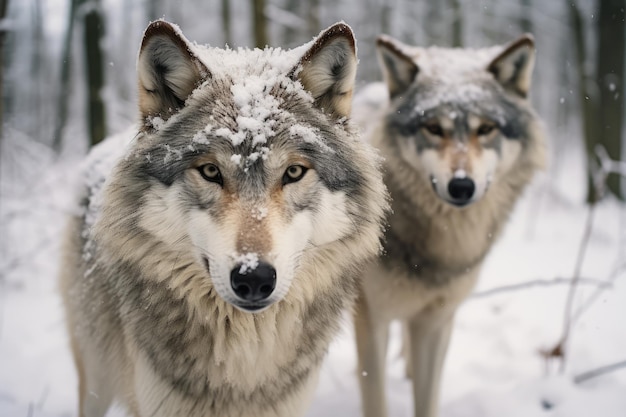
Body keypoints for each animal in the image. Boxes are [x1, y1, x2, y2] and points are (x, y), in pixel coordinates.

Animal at [352, 35, 544, 416]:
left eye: (485, 129)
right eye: (433, 128)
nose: (461, 186)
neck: (444, 247)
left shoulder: (437, 322)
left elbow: (427, 398)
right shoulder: (371, 317)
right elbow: (376, 398)